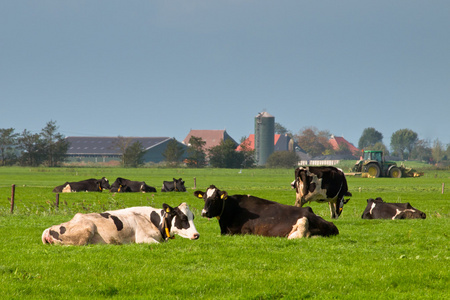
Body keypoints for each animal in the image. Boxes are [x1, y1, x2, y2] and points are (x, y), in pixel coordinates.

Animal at [43, 202, 200, 246]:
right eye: (183, 218)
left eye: (193, 217)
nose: (196, 235)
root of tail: (49, 229)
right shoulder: (142, 239)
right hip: (87, 229)